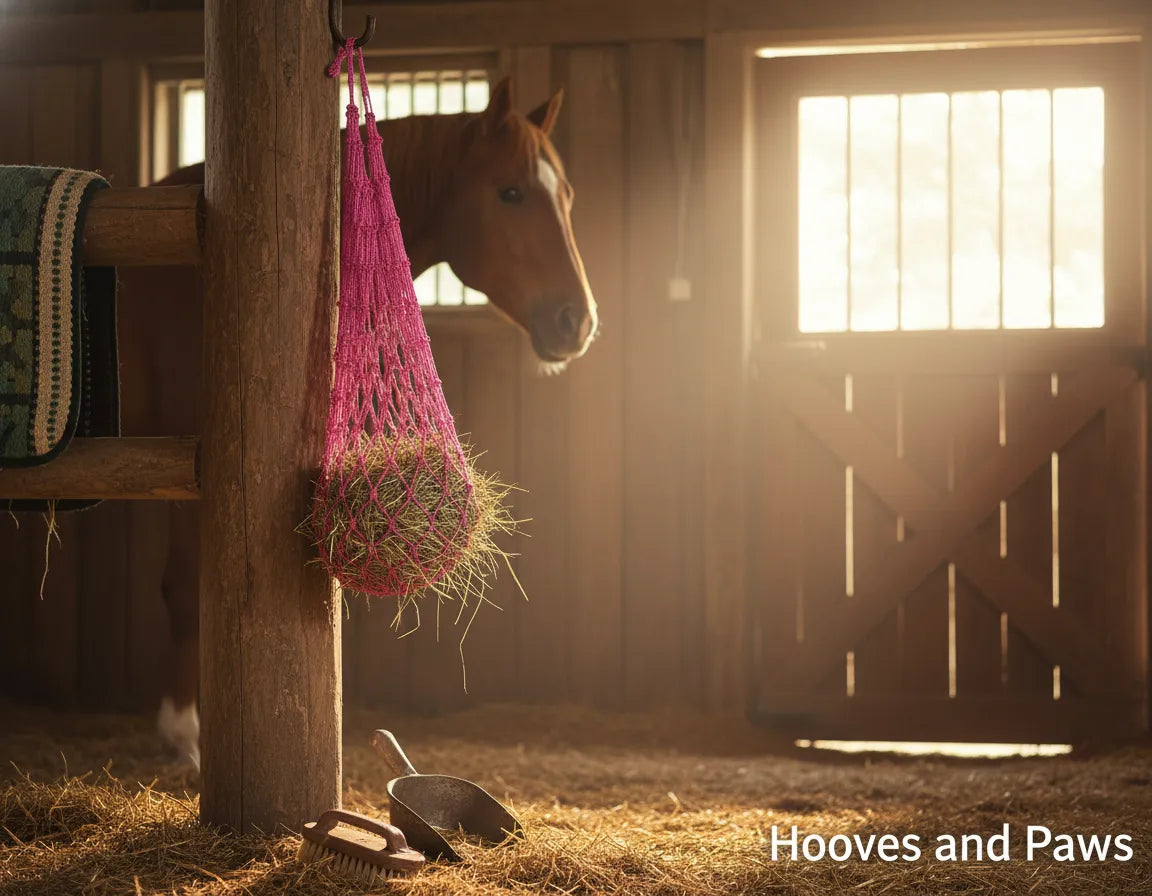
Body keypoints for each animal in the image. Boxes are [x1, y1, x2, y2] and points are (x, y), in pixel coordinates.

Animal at [116, 76, 598, 768]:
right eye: (510, 192)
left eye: (567, 196)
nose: (577, 322)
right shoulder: (192, 460)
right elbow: (183, 590)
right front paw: (183, 735)